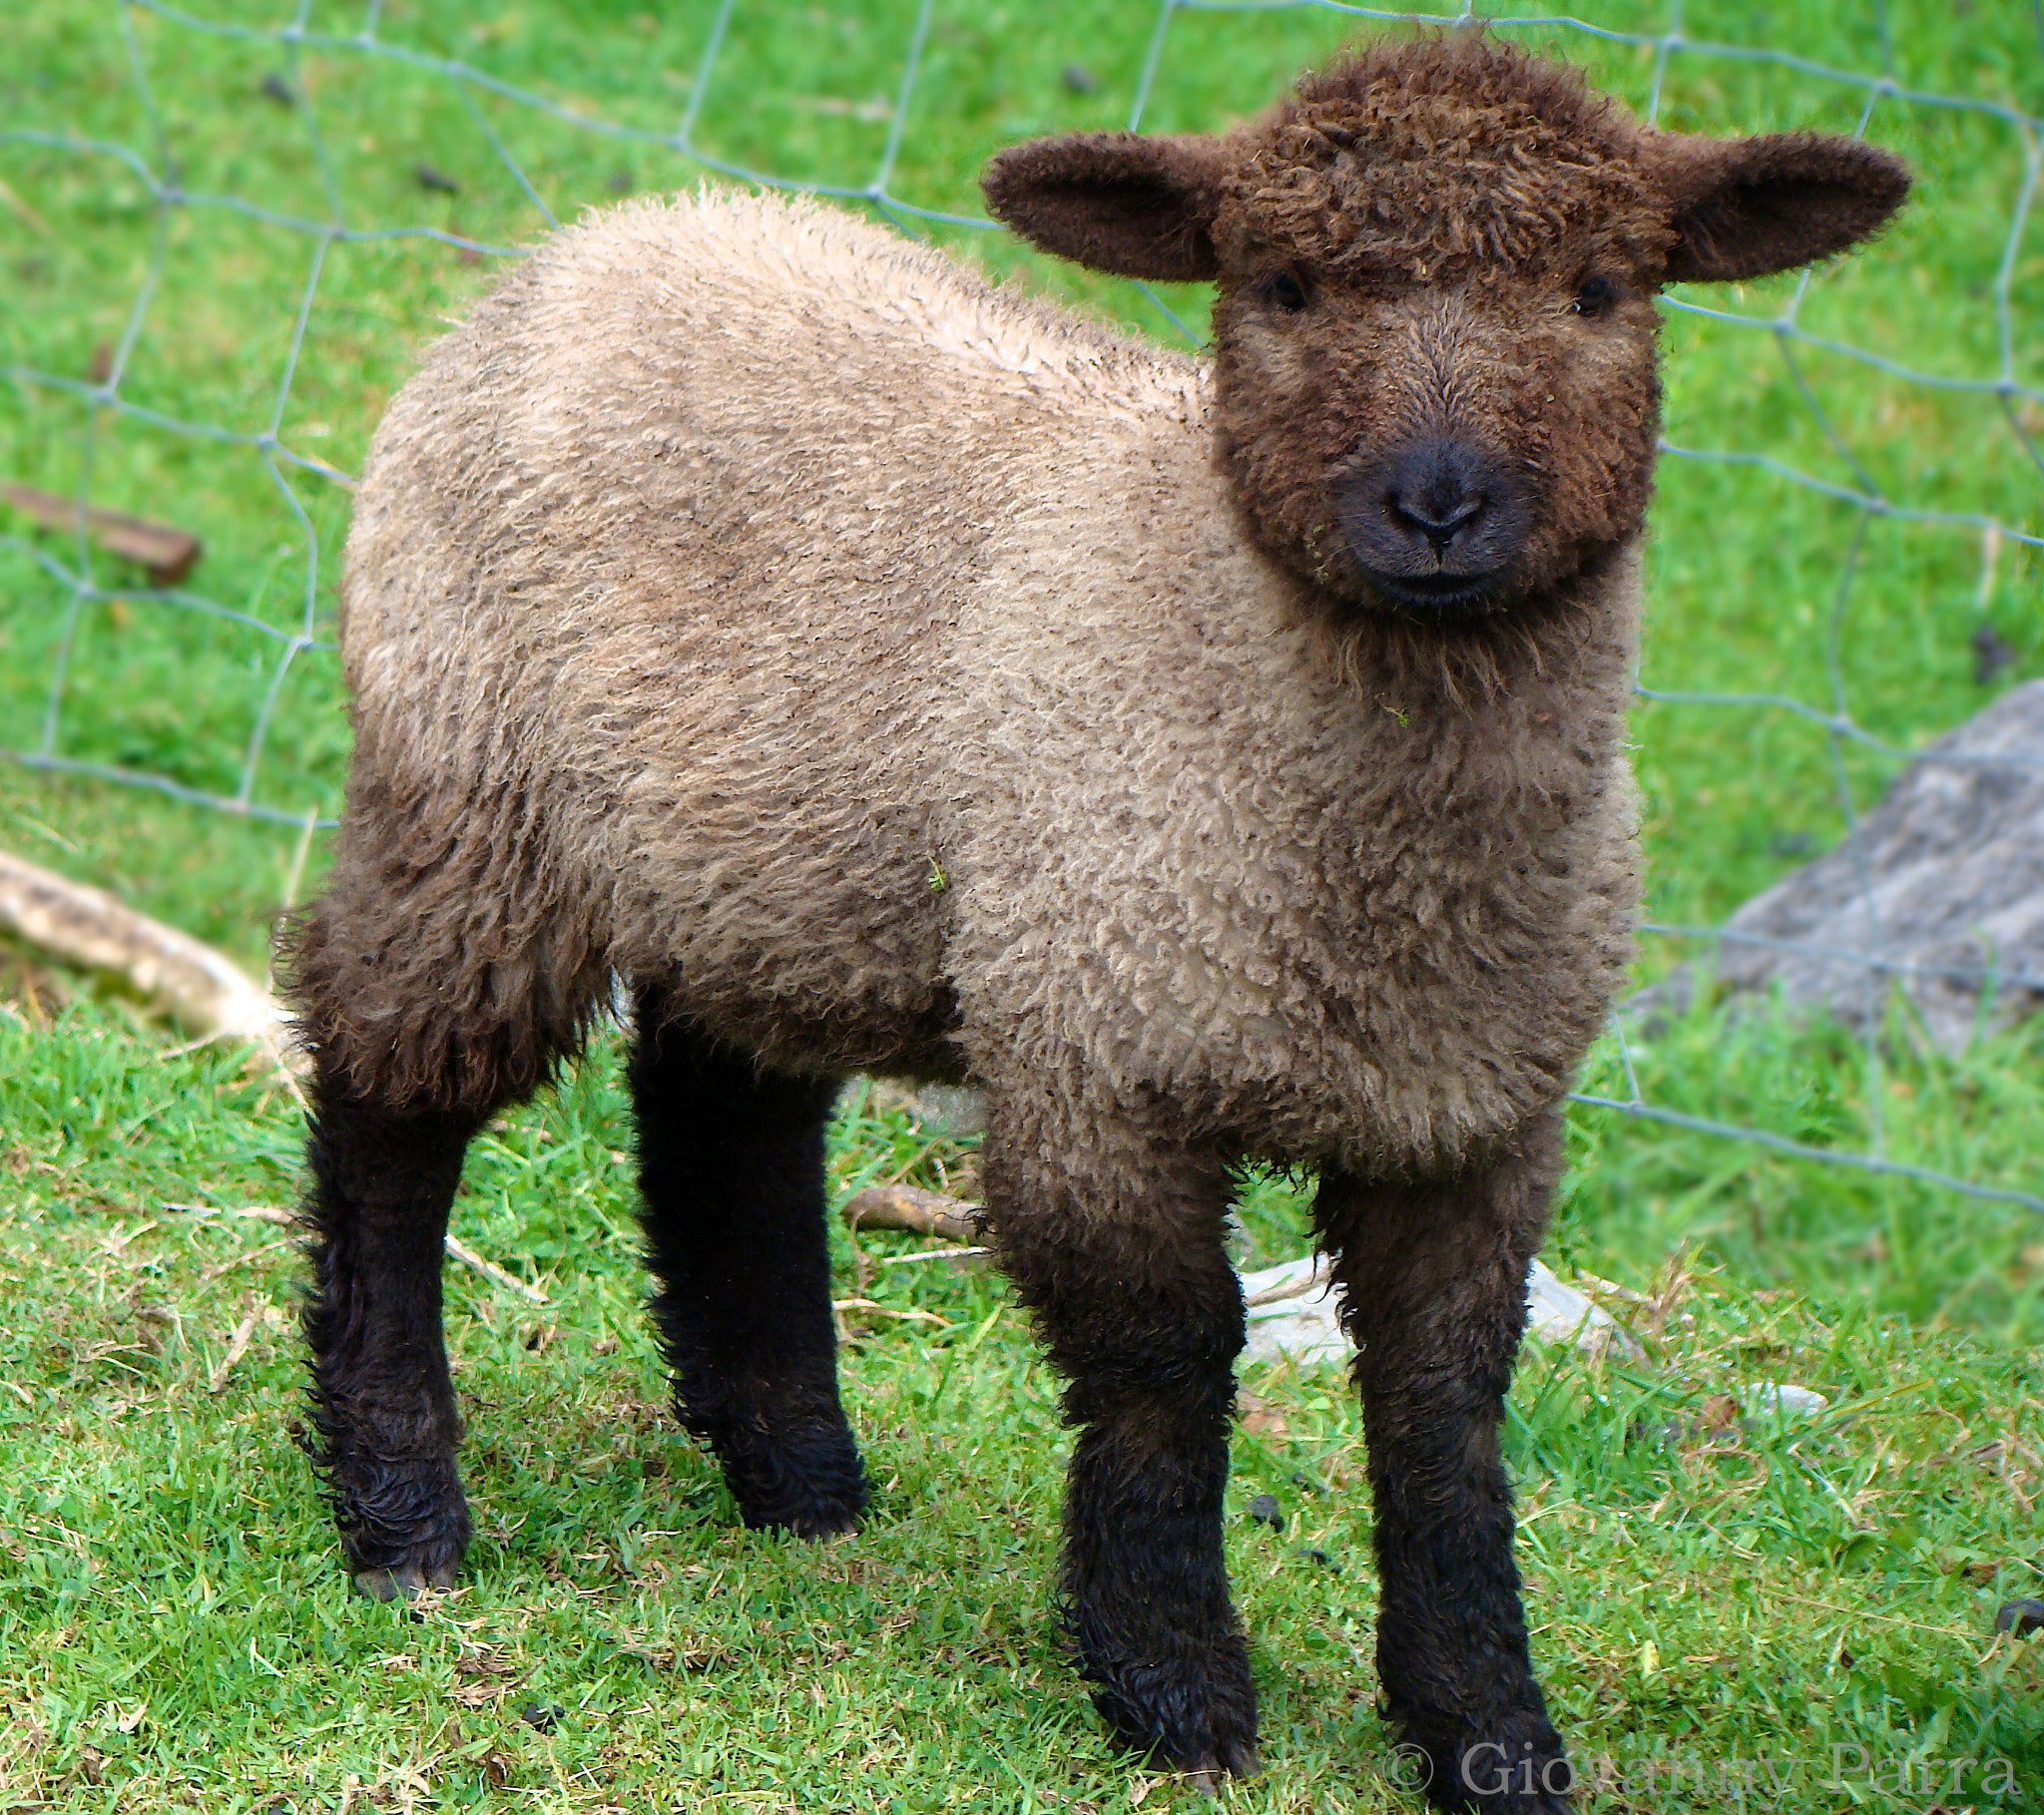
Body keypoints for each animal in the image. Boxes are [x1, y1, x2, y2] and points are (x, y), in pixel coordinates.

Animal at [286, 33, 1906, 1810]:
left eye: (1606, 288)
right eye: (1278, 284)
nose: (1438, 507)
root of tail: (602, 240)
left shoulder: (1479, 1113)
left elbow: (1444, 1410)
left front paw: (1488, 1728)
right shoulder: (1096, 1054)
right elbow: (1164, 1362)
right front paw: (1175, 1687)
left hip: (775, 856)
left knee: (720, 1108)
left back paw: (798, 1476)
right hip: (472, 786)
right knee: (387, 1089)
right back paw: (402, 1510)